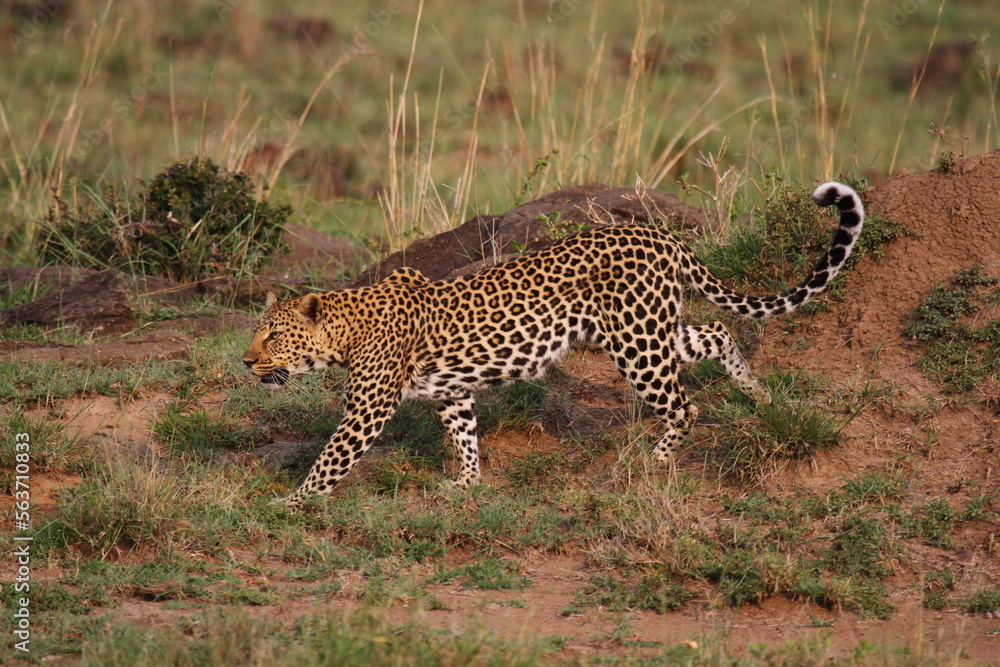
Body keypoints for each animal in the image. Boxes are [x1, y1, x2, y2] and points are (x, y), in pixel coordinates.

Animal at [243, 182, 864, 509]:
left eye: (272, 333)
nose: (246, 361)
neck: (344, 330)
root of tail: (658, 233)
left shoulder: (366, 409)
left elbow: (330, 459)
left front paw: (288, 504)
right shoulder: (451, 391)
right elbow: (464, 434)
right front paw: (466, 484)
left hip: (637, 343)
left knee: (685, 405)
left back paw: (655, 460)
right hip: (658, 328)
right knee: (717, 333)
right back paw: (758, 394)